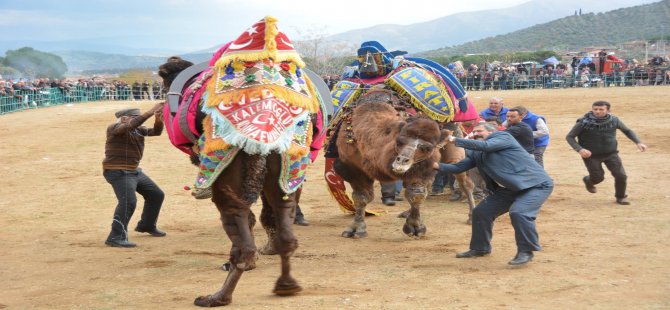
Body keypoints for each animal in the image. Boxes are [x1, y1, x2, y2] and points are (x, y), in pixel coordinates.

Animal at [157, 17, 328, 308]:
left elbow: (248, 221)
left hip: (229, 170)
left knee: (243, 238)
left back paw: (217, 296)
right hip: (287, 162)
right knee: (286, 230)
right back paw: (286, 285)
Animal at [334, 89, 448, 237]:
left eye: (427, 148)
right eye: (399, 141)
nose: (402, 161)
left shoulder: (423, 168)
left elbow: (416, 193)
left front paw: (416, 226)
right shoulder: (351, 167)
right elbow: (361, 197)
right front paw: (356, 229)